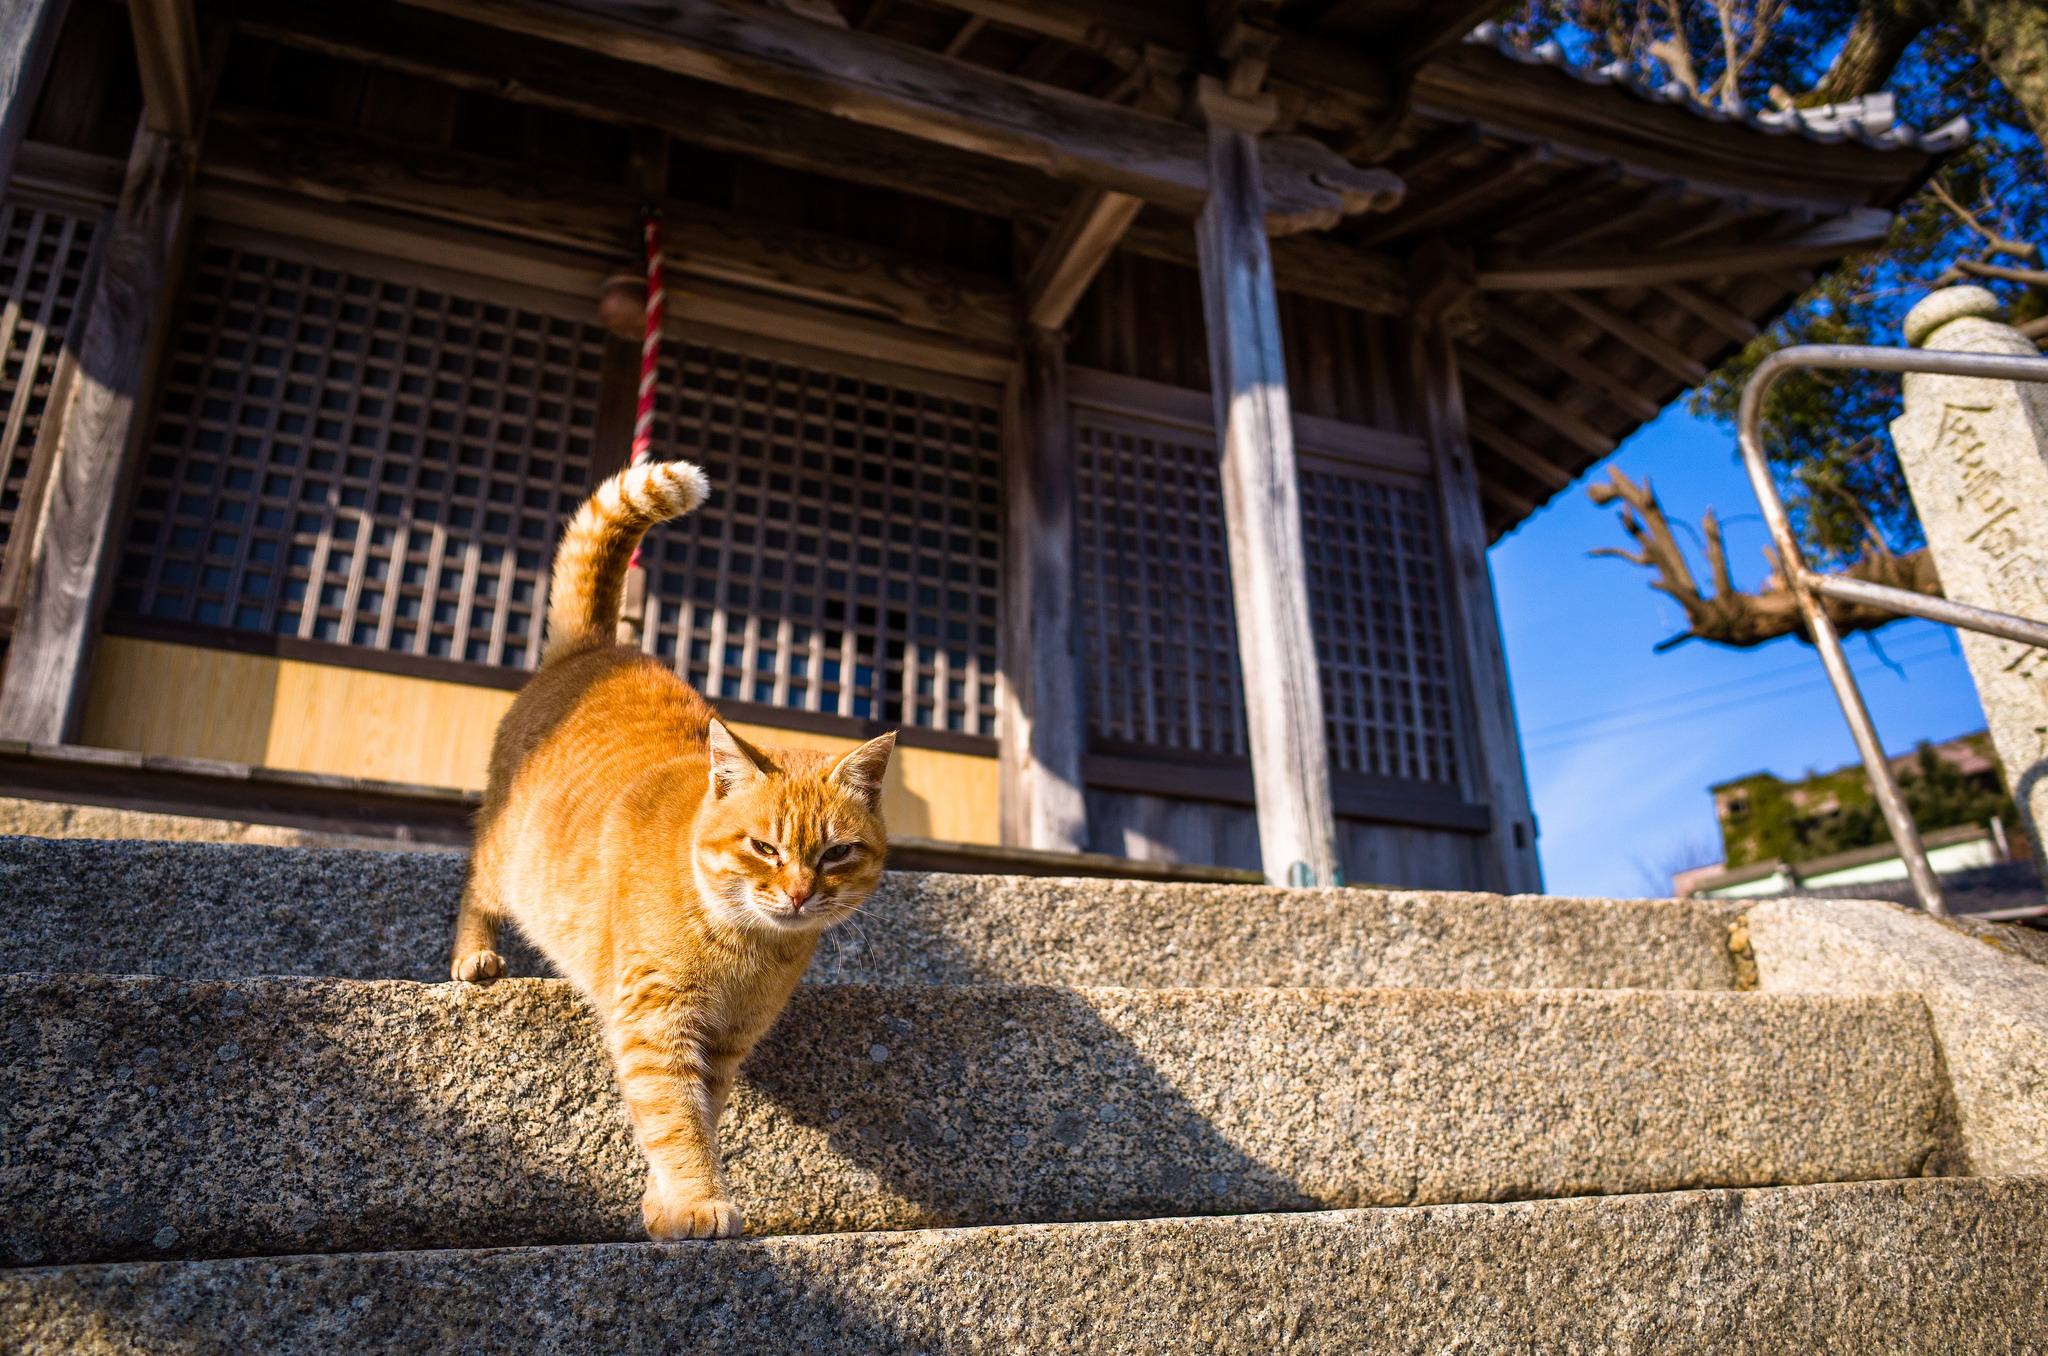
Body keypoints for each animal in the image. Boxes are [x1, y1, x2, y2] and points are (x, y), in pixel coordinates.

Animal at [454, 458, 888, 1245]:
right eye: (764, 848)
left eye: (836, 854)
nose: (800, 893)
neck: (745, 951)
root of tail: (600, 645)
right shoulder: (657, 1023)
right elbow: (674, 1121)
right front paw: (695, 1202)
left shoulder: (723, 1045)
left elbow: (700, 1118)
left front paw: (667, 1203)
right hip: (506, 857)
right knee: (476, 884)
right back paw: (474, 956)